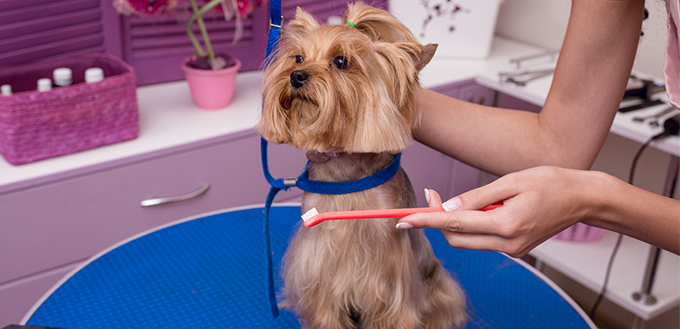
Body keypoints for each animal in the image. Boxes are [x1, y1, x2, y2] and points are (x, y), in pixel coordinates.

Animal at [258, 1, 464, 326]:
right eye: (298, 57)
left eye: (341, 61)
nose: (296, 76)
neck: (346, 174)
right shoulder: (319, 257)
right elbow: (325, 307)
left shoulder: (389, 267)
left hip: (438, 285)